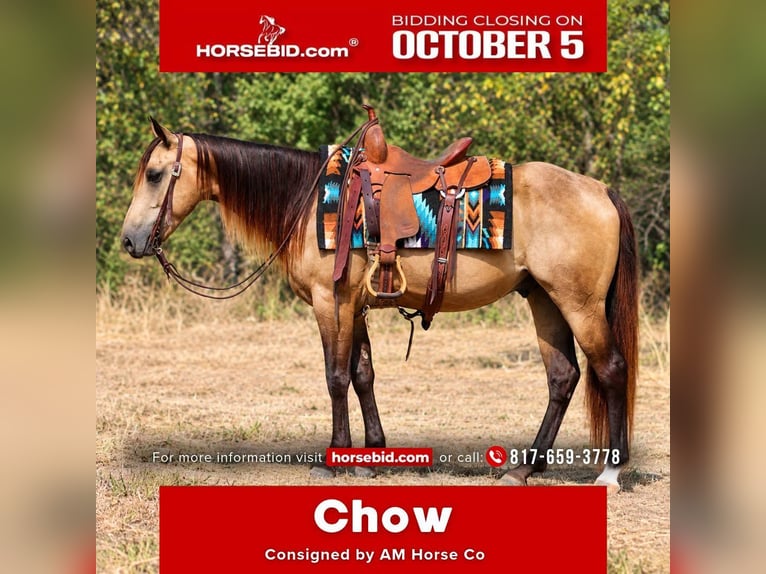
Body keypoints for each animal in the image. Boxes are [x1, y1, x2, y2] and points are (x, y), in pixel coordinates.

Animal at [120, 117, 638, 493]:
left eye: (154, 175)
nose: (128, 241)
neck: (308, 203)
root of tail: (600, 189)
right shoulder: (356, 306)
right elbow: (363, 375)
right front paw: (371, 455)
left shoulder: (331, 302)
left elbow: (336, 377)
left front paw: (334, 459)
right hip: (545, 300)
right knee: (562, 378)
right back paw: (524, 469)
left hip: (579, 304)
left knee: (611, 368)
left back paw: (610, 473)